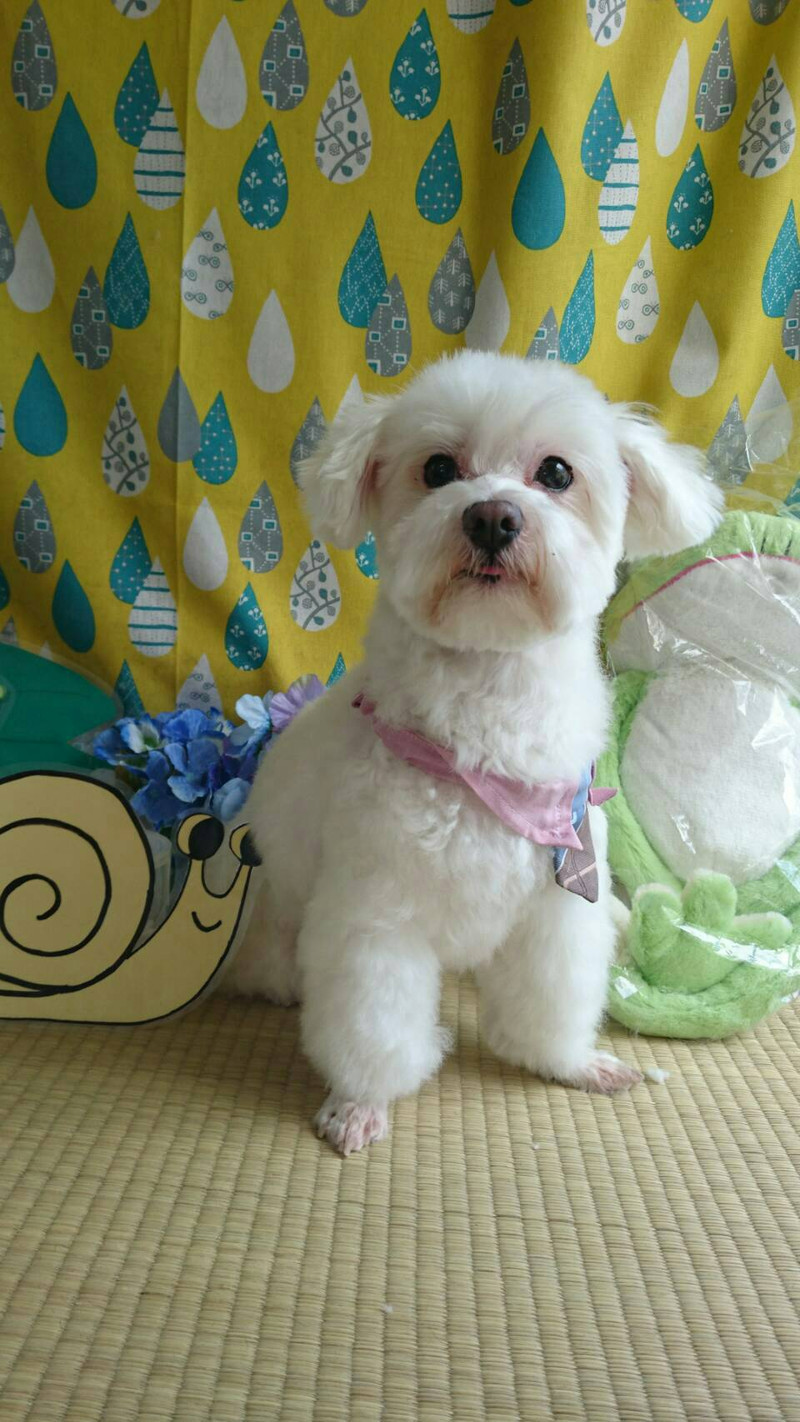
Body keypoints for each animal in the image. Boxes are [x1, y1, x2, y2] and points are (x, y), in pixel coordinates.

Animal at [226, 352, 723, 1155]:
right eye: (437, 469)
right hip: (278, 927)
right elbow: (375, 1029)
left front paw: (569, 1063)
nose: (492, 516)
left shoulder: (559, 905)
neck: (489, 724)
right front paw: (361, 1103)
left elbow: (550, 1001)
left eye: (555, 472)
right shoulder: (376, 918)